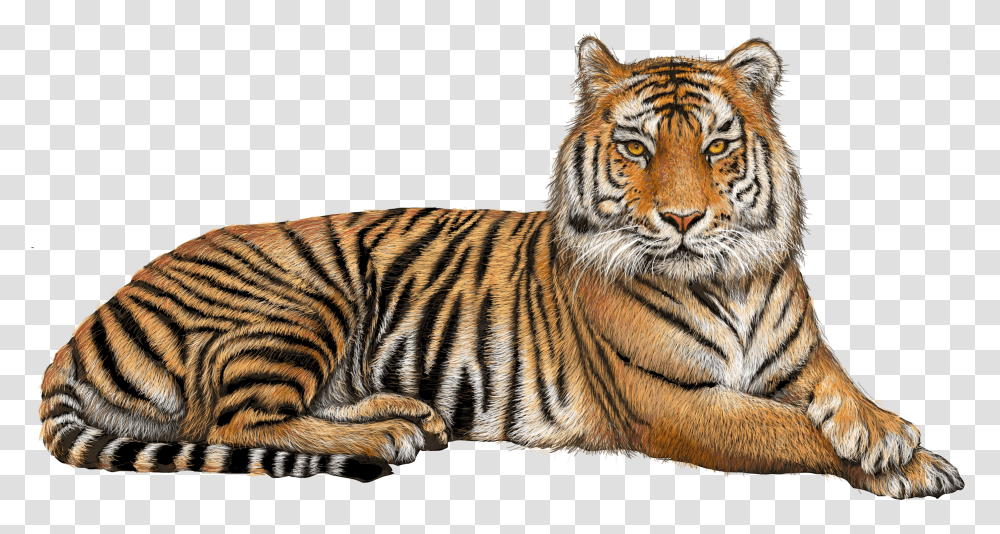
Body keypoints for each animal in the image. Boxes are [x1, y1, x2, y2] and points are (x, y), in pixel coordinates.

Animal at [39, 37, 964, 499]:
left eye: (715, 148)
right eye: (636, 150)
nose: (683, 219)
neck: (730, 278)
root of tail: (82, 327)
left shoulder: (800, 359)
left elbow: (838, 391)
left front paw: (894, 438)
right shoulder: (675, 402)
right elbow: (789, 430)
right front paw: (903, 464)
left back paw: (408, 413)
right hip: (298, 300)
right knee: (234, 421)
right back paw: (386, 434)